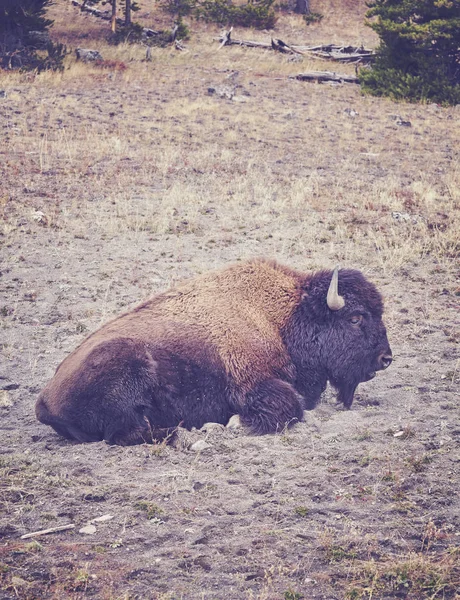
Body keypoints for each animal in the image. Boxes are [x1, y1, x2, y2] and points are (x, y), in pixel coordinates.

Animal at [37, 258, 394, 446]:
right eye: (356, 317)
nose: (386, 358)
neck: (282, 317)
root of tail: (44, 401)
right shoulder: (252, 383)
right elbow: (289, 406)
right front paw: (235, 423)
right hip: (128, 361)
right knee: (126, 433)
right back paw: (188, 430)